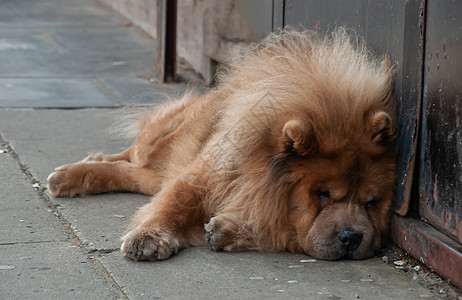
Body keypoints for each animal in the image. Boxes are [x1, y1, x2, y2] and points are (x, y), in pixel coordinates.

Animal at [47, 29, 398, 262]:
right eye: (322, 194)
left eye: (371, 202)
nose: (351, 237)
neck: (259, 166)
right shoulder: (200, 177)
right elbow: (173, 205)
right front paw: (149, 237)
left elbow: (274, 225)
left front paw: (227, 229)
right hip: (162, 143)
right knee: (130, 156)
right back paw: (71, 172)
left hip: (156, 172)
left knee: (130, 171)